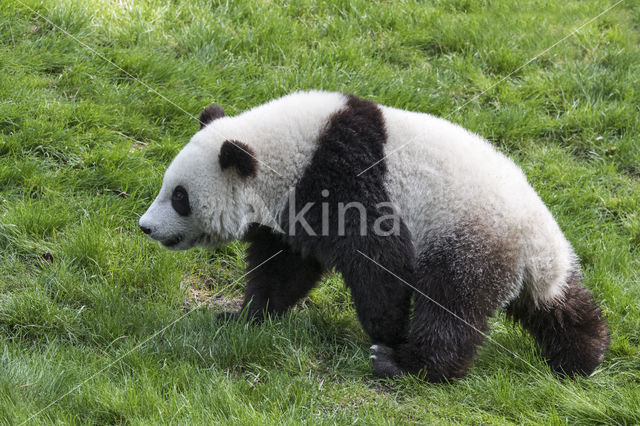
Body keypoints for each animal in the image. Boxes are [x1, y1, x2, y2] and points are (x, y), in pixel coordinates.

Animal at [140, 91, 608, 382]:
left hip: (468, 234)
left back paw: (405, 365)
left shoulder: (343, 173)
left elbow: (378, 255)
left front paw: (385, 330)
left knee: (452, 302)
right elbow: (285, 267)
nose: (146, 227)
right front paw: (244, 316)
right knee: (558, 306)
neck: (287, 149)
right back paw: (583, 357)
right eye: (167, 186)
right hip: (531, 262)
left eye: (180, 197)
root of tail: (537, 249)